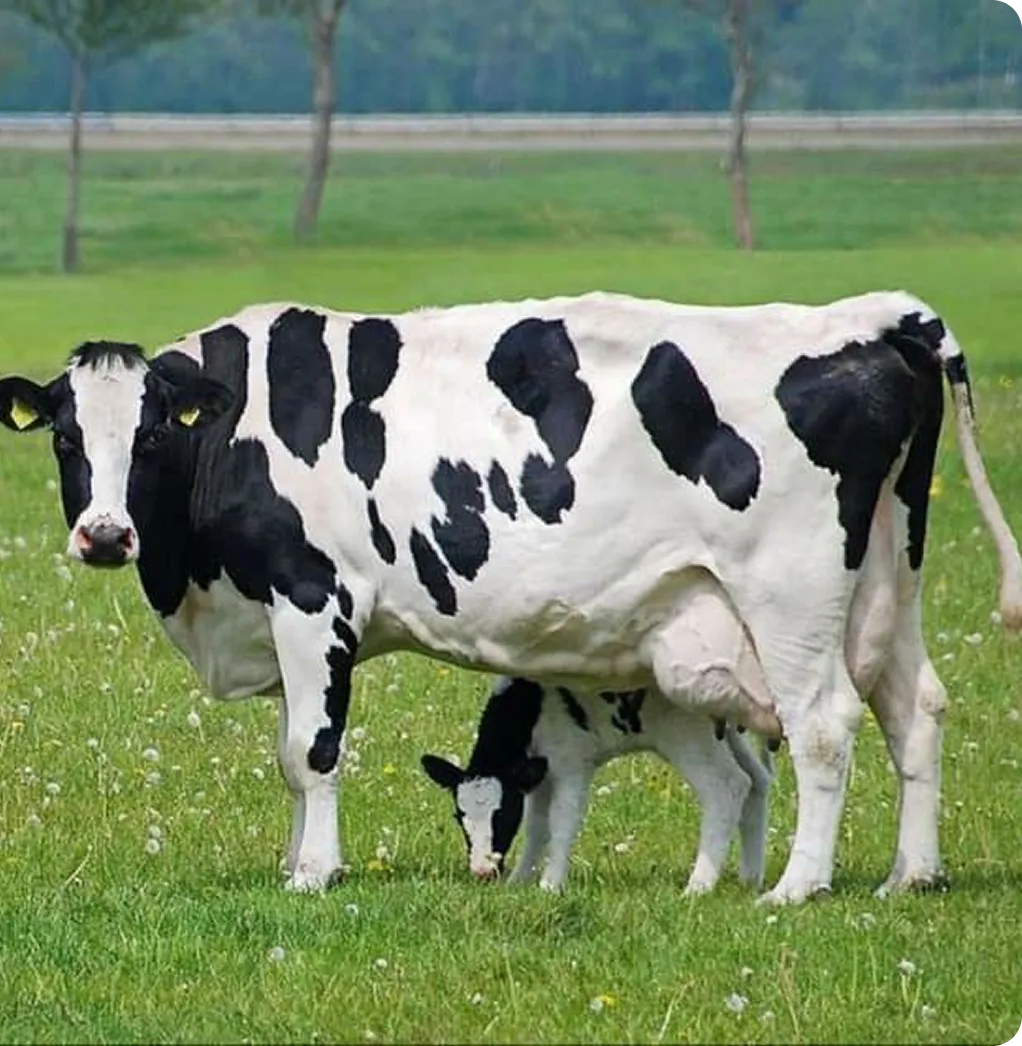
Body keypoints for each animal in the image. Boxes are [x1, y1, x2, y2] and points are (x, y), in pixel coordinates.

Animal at [421, 674, 775, 892]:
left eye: (503, 814)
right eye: (459, 817)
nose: (482, 871)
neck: (531, 704)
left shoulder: (572, 763)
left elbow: (562, 821)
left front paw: (550, 885)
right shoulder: (539, 772)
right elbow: (537, 826)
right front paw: (519, 880)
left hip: (687, 735)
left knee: (727, 786)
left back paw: (698, 886)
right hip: (726, 735)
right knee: (757, 780)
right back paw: (750, 878)